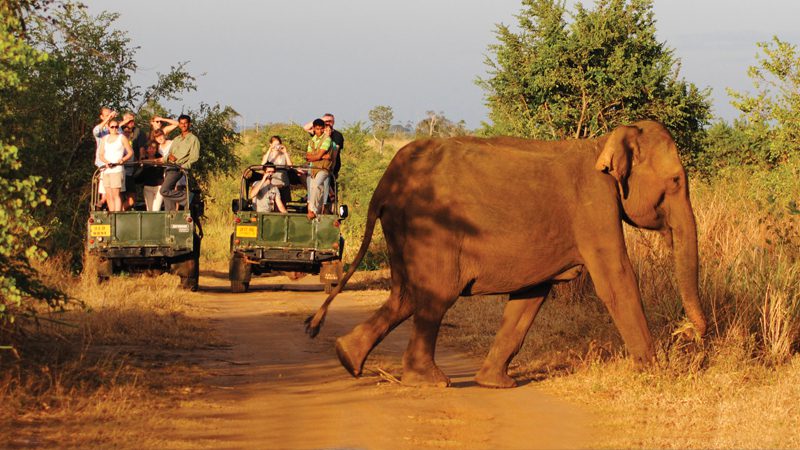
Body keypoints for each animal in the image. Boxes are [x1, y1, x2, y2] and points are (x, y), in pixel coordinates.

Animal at [305, 120, 707, 388]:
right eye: (675, 181)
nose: (689, 335)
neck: (603, 143)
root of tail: (385, 182)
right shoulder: (595, 205)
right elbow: (616, 279)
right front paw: (656, 371)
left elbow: (531, 295)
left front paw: (495, 384)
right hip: (431, 228)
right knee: (435, 295)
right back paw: (430, 381)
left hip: (404, 229)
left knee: (406, 295)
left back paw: (348, 358)